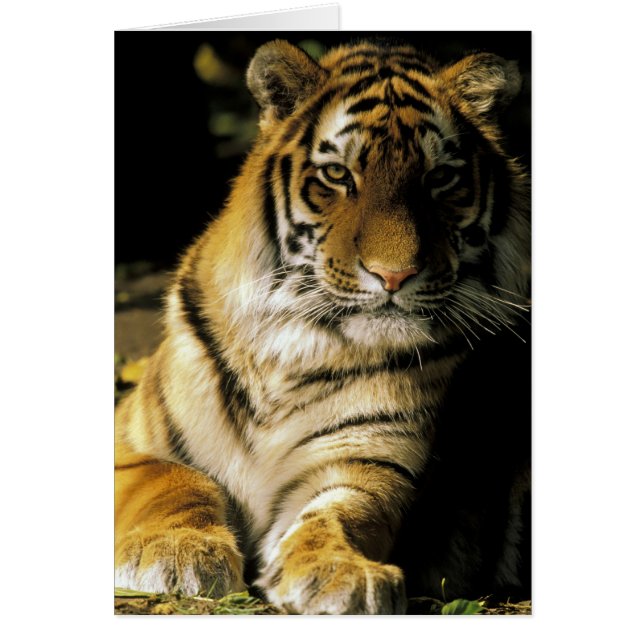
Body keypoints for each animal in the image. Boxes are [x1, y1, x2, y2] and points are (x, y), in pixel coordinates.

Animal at [115, 38, 531, 615]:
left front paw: (340, 572)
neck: (291, 348)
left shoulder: (368, 462)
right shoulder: (128, 439)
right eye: (338, 176)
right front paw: (175, 552)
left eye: (439, 178)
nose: (394, 275)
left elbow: (339, 514)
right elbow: (172, 476)